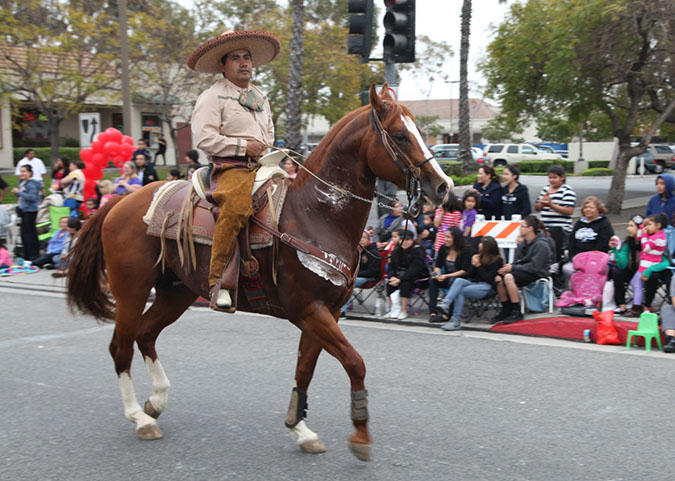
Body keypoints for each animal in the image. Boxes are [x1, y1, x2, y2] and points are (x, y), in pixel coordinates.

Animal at [66, 85, 454, 462]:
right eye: (400, 135)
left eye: (419, 132)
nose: (444, 186)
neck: (316, 215)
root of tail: (120, 202)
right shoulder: (310, 311)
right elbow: (354, 363)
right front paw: (359, 433)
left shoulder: (326, 312)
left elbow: (305, 368)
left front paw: (300, 429)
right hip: (131, 290)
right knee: (121, 347)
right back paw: (139, 417)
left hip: (176, 291)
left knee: (146, 335)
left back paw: (157, 401)